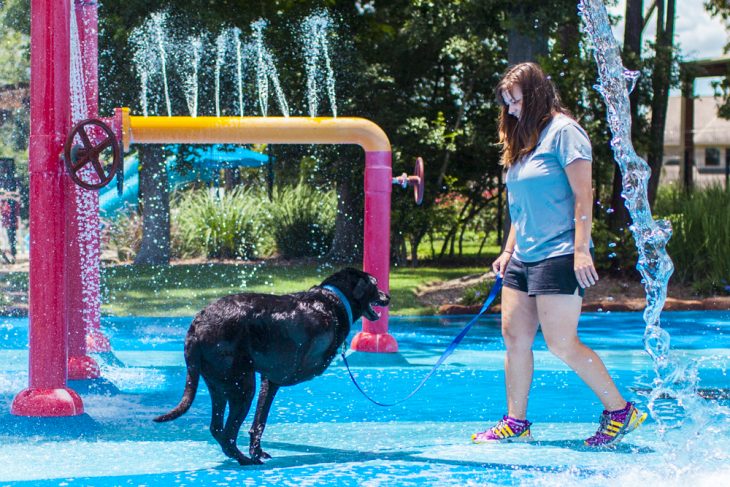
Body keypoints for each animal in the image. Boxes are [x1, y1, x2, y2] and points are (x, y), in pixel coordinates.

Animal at [154, 268, 390, 468]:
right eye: (375, 283)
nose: (388, 297)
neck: (334, 299)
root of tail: (197, 326)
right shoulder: (287, 370)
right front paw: (255, 454)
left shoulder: (270, 379)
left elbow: (260, 421)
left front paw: (257, 450)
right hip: (242, 385)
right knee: (228, 433)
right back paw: (245, 460)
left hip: (218, 384)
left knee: (217, 428)